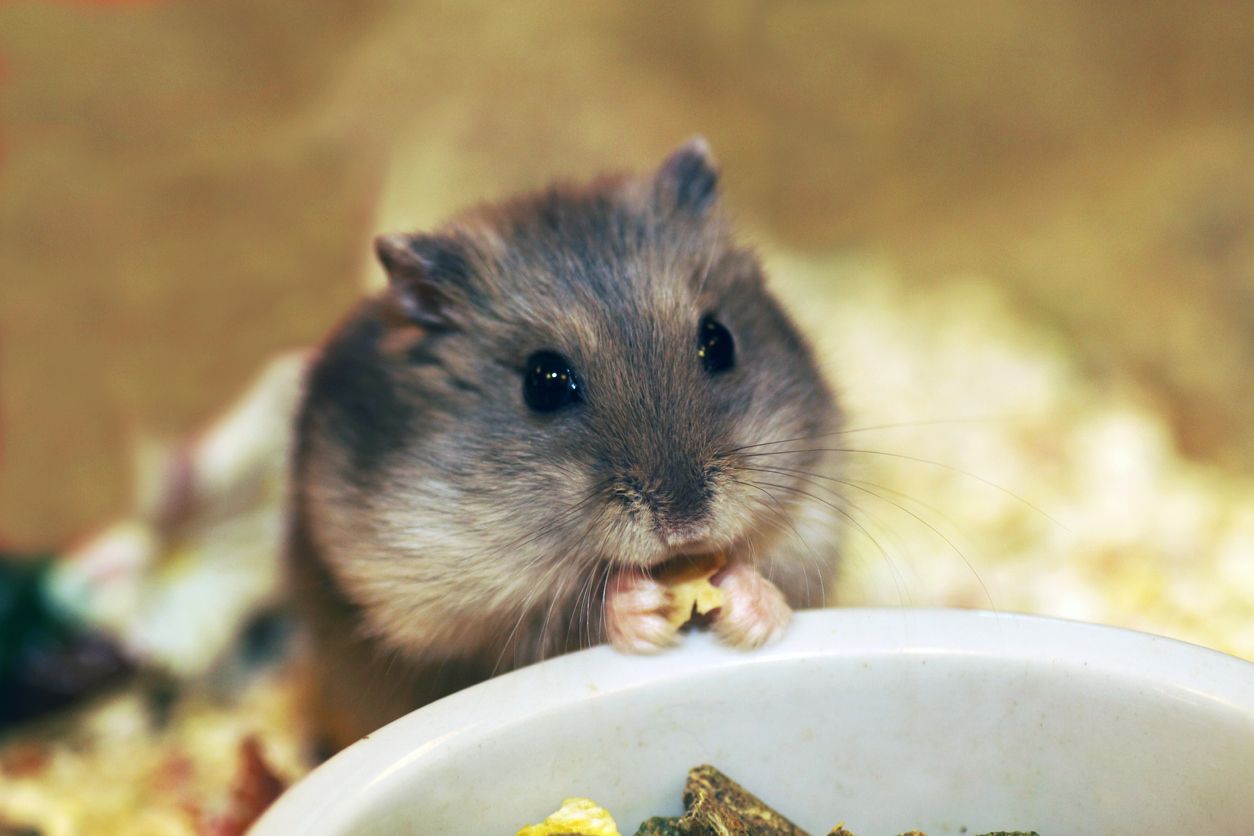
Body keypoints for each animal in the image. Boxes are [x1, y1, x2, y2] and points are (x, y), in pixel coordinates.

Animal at [288, 139, 842, 752]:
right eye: (544, 382)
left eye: (719, 342)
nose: (686, 524)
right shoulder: (456, 618)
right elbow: (560, 619)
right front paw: (641, 607)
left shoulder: (814, 520)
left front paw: (748, 606)